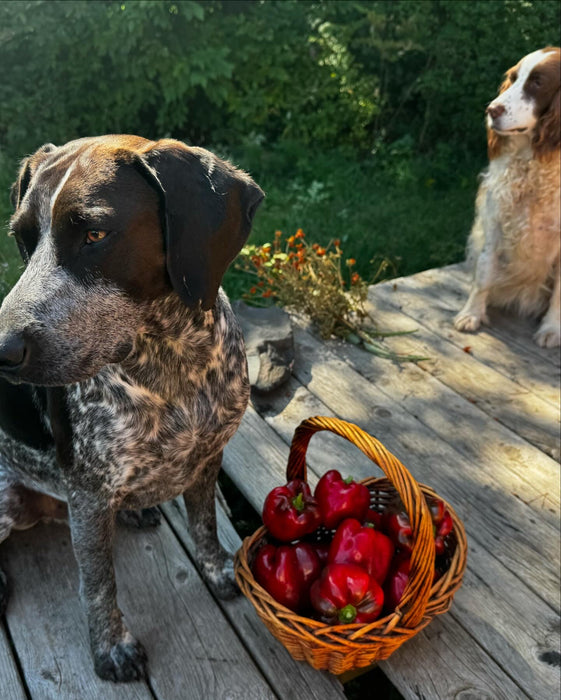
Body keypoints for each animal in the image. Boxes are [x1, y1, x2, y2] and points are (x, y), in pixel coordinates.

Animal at [0, 134, 264, 680]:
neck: (172, 364)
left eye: (95, 233)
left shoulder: (207, 458)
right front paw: (110, 648)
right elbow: (98, 583)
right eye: (22, 240)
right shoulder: (87, 494)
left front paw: (218, 569)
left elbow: (205, 525)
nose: (0, 351)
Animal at [456, 46, 560, 348]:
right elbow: (484, 273)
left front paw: (552, 328)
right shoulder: (495, 223)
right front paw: (472, 314)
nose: (491, 110)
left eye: (537, 82)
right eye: (513, 78)